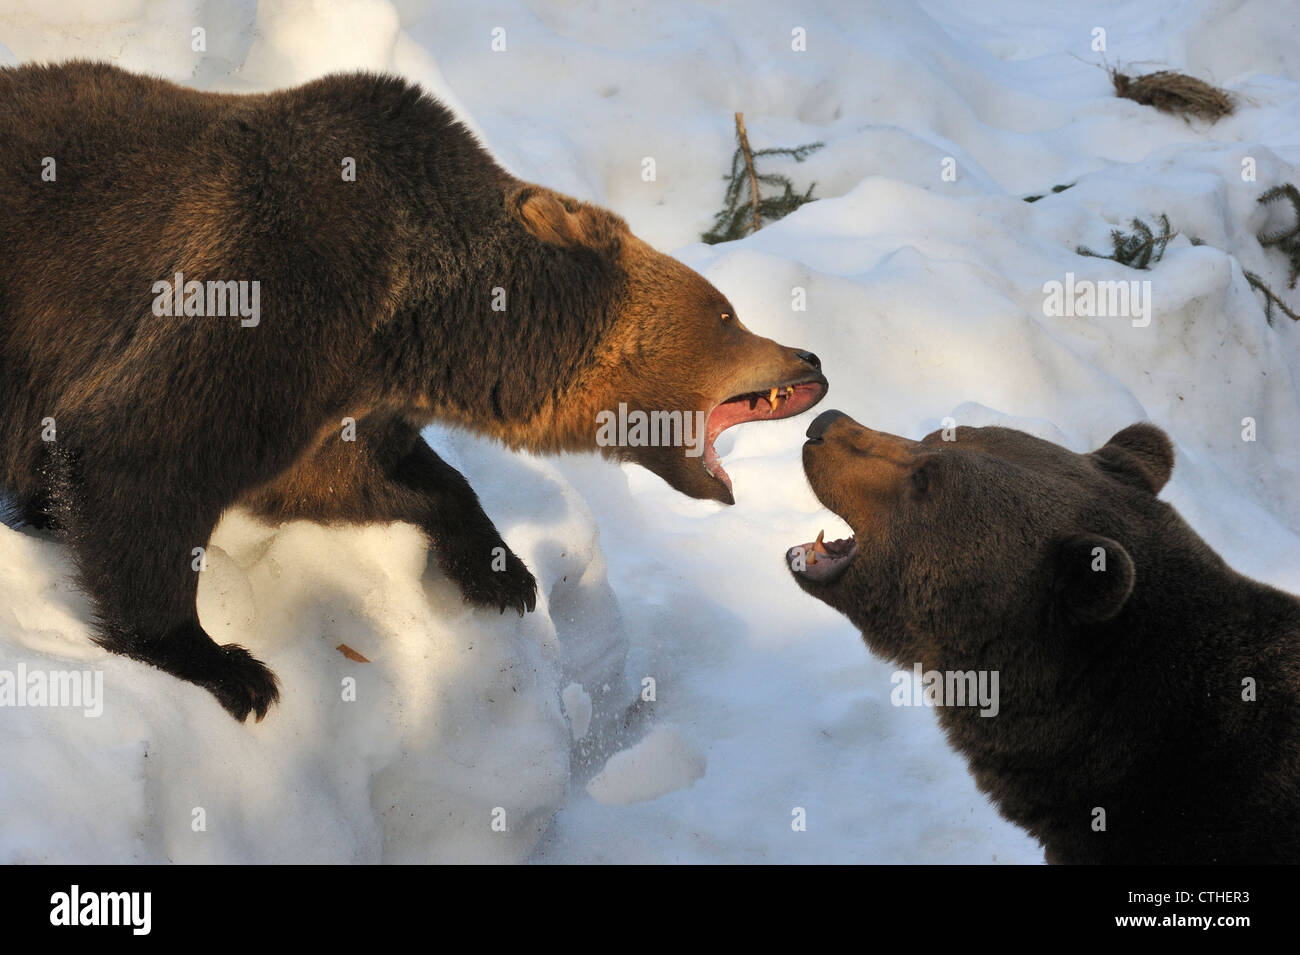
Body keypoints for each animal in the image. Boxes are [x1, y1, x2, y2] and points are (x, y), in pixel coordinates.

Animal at [0, 59, 826, 722]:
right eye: (726, 313)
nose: (809, 358)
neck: (417, 315)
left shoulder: (343, 394)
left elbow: (357, 478)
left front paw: (502, 568)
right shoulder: (276, 283)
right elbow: (140, 452)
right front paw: (224, 662)